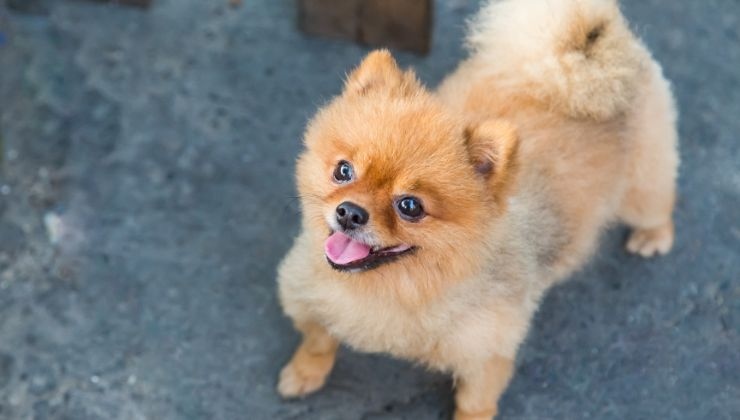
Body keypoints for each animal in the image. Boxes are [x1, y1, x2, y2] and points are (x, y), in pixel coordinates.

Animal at [274, 1, 676, 418]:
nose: (350, 212)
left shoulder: (486, 352)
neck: (398, 288)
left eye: (410, 206)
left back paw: (653, 236)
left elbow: (474, 402)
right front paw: (304, 373)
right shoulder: (306, 295)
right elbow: (318, 341)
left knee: (659, 202)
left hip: (640, 185)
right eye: (343, 171)